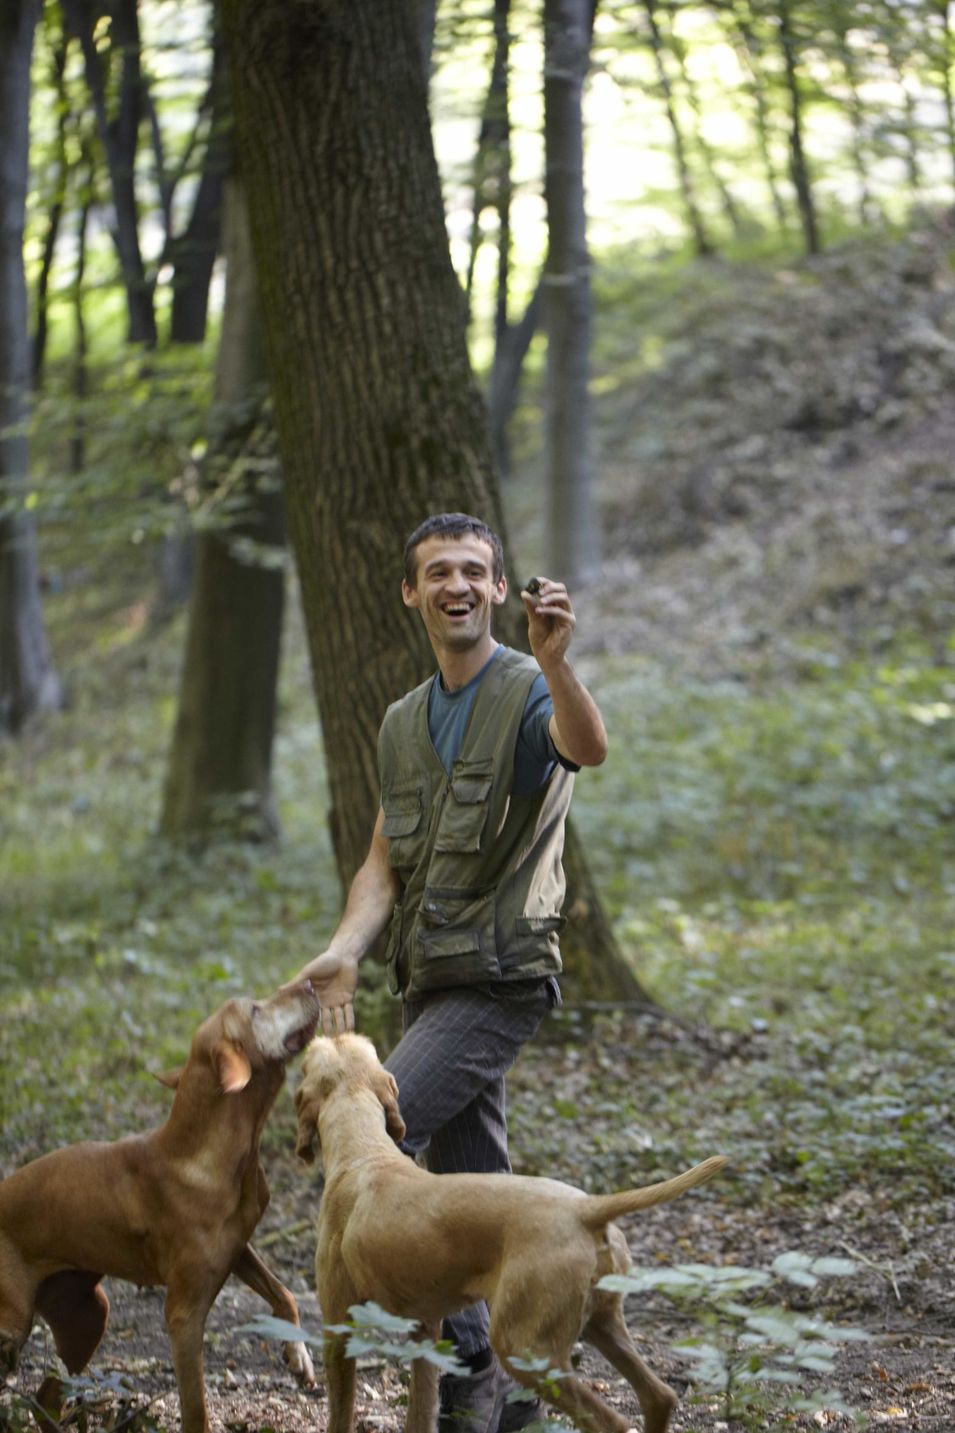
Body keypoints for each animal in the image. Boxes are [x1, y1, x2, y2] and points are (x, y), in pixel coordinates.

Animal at [0, 985, 319, 1433]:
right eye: (256, 1010)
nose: (310, 986)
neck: (206, 1149)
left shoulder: (239, 1250)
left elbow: (285, 1293)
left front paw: (298, 1356)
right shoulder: (183, 1316)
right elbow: (196, 1409)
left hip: (87, 1315)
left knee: (45, 1400)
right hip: (11, 1327)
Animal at [293, 1037, 725, 1433]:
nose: (322, 1032)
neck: (364, 1151)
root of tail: (587, 1210)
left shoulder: (338, 1328)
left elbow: (340, 1415)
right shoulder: (425, 1330)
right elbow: (420, 1411)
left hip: (524, 1348)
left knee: (613, 1422)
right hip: (601, 1324)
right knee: (660, 1396)